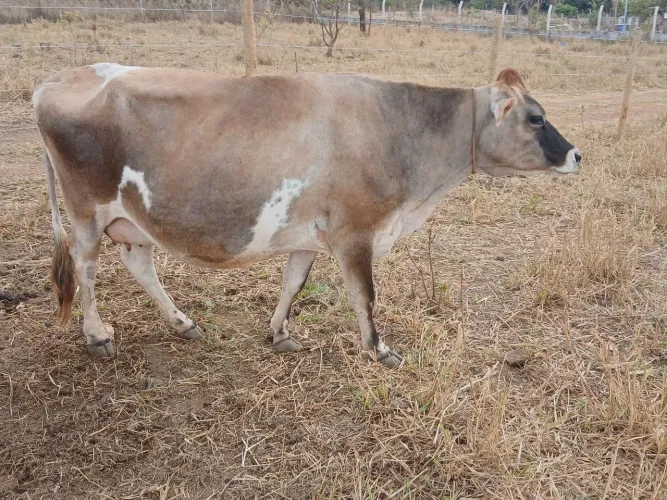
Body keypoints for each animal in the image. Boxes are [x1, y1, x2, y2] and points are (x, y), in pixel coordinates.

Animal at [33, 63, 581, 367]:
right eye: (536, 118)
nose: (577, 154)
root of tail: (59, 78)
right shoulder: (356, 232)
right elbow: (365, 296)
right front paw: (379, 350)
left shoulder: (307, 235)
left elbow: (292, 284)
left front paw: (279, 333)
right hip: (86, 211)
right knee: (86, 268)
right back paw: (97, 336)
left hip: (133, 218)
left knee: (139, 264)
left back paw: (183, 323)